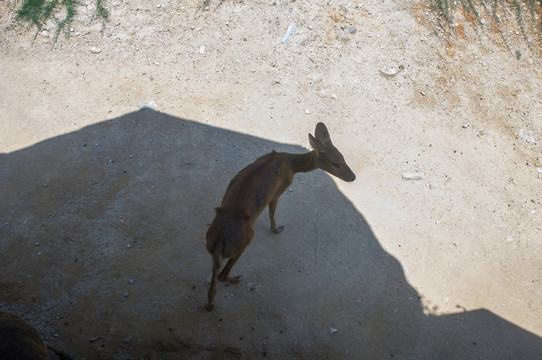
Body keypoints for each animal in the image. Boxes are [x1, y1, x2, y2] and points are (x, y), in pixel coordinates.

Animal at [205, 122, 356, 310]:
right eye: (335, 163)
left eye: (343, 157)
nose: (353, 177)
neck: (291, 164)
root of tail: (219, 244)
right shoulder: (280, 188)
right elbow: (272, 212)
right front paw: (277, 229)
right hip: (244, 240)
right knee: (222, 274)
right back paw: (236, 279)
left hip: (210, 243)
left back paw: (210, 303)